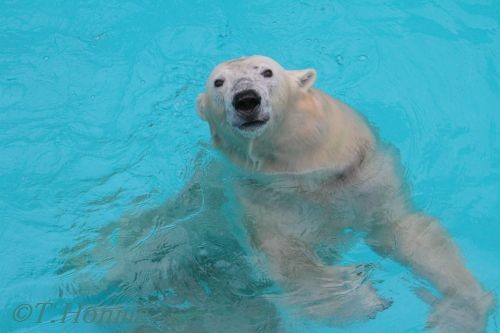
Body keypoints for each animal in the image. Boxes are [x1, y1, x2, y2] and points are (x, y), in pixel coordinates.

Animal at [196, 55, 492, 330]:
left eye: (267, 72)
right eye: (218, 82)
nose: (246, 99)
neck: (305, 172)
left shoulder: (363, 177)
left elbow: (403, 231)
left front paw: (460, 312)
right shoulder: (259, 198)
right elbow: (285, 256)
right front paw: (359, 297)